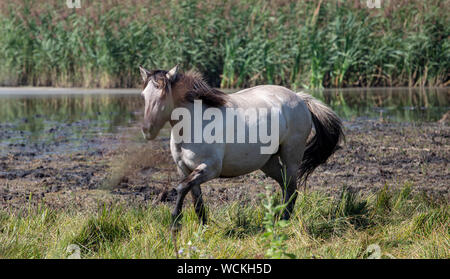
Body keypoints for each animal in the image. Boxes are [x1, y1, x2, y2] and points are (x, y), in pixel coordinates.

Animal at [139, 65, 342, 230]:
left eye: (163, 95)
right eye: (144, 96)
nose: (147, 130)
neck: (195, 123)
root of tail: (299, 98)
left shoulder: (210, 168)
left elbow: (182, 188)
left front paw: (175, 222)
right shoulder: (184, 168)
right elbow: (196, 200)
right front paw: (202, 228)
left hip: (291, 156)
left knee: (292, 187)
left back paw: (283, 221)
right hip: (268, 162)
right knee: (285, 184)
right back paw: (277, 219)